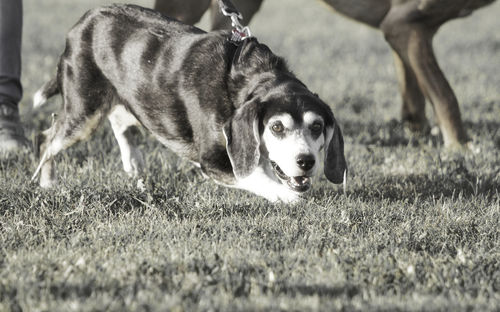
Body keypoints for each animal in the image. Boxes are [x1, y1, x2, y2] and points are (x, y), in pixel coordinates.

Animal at [30, 5, 344, 205]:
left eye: (317, 127)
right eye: (277, 127)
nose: (306, 161)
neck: (243, 80)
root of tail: (82, 22)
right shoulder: (213, 159)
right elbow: (256, 174)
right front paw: (288, 197)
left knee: (120, 121)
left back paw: (133, 162)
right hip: (84, 110)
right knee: (46, 138)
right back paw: (47, 183)